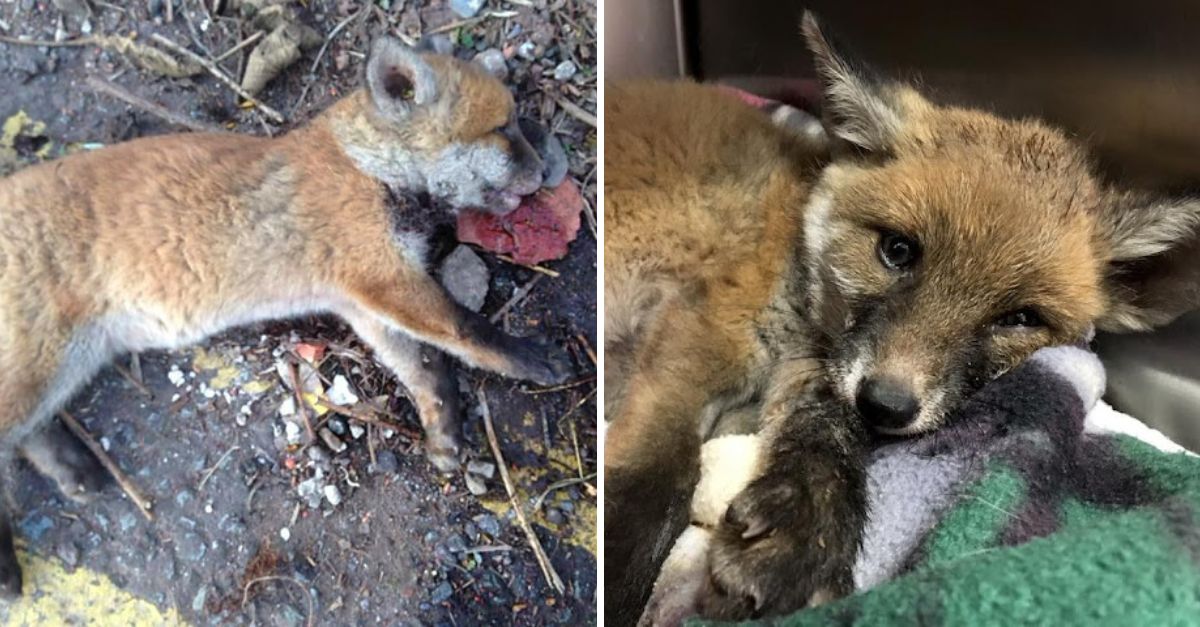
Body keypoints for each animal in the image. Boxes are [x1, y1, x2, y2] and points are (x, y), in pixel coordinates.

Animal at [0, 38, 572, 596]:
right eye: (503, 128)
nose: (548, 171)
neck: (369, 168)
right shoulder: (382, 277)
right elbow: (466, 331)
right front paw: (530, 358)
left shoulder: (362, 304)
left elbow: (426, 372)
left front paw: (443, 432)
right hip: (41, 367)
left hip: (66, 367)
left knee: (25, 437)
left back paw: (71, 472)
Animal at [604, 12, 1200, 624]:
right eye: (897, 250)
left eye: (1020, 317)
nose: (886, 405)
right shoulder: (700, 335)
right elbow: (657, 480)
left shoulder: (814, 370)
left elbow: (828, 434)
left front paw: (805, 532)